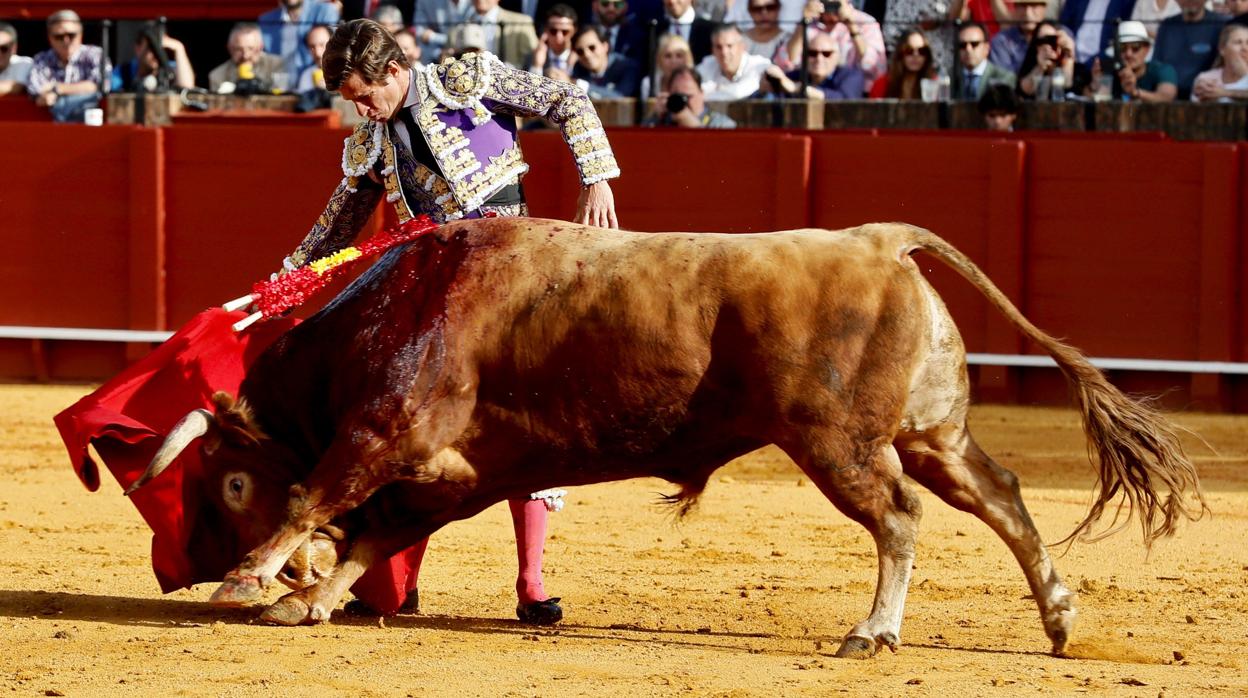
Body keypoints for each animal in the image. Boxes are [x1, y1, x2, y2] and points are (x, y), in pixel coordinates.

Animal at [134, 219, 1198, 659]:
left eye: (227, 484)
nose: (182, 573)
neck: (397, 308)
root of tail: (879, 239)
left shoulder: (386, 428)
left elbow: (321, 492)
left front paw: (253, 581)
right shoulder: (454, 474)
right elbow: (368, 533)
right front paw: (306, 599)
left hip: (838, 444)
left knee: (898, 518)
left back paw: (872, 632)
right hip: (934, 432)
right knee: (1006, 497)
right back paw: (1060, 621)